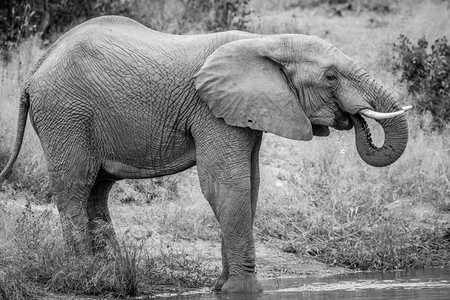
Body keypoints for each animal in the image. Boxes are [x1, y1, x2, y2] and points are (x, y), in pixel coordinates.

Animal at [0, 15, 410, 292]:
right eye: (330, 78)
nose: (356, 118)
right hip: (65, 114)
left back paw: (109, 275)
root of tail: (35, 69)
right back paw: (85, 277)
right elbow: (225, 186)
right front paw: (244, 291)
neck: (268, 42)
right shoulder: (211, 111)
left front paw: (222, 288)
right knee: (75, 187)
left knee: (97, 190)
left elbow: (250, 185)